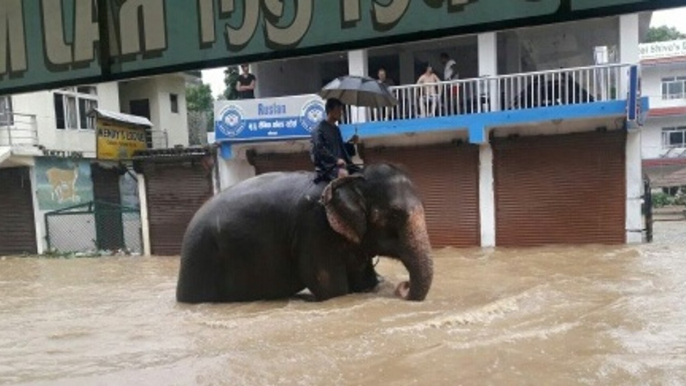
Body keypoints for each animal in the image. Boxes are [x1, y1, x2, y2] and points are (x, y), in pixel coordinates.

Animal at [177, 161, 436, 304]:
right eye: (395, 215)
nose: (402, 286)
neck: (350, 180)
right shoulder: (314, 229)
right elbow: (332, 289)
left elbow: (363, 282)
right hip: (200, 260)